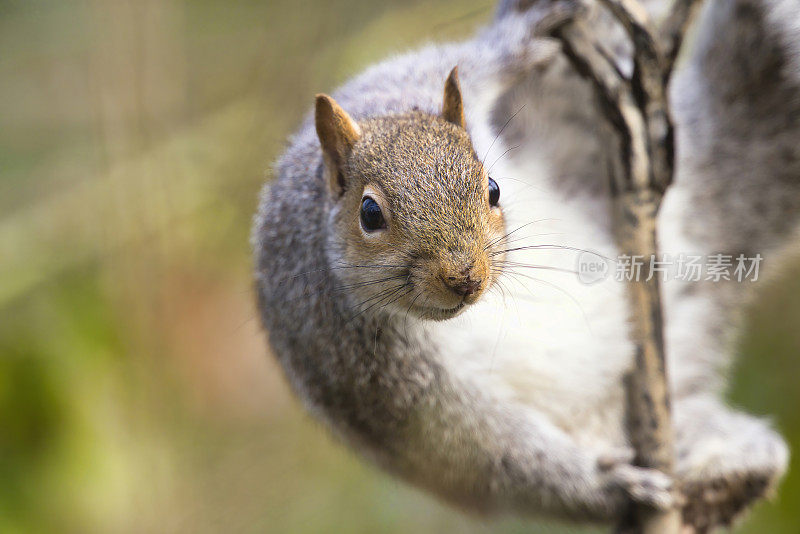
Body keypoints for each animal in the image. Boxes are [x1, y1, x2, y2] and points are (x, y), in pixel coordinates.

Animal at [252, 0, 800, 532]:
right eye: (369, 214)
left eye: (493, 188)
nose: (465, 278)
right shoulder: (380, 377)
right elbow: (492, 450)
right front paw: (607, 486)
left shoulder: (405, 82)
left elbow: (473, 60)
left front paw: (519, 39)